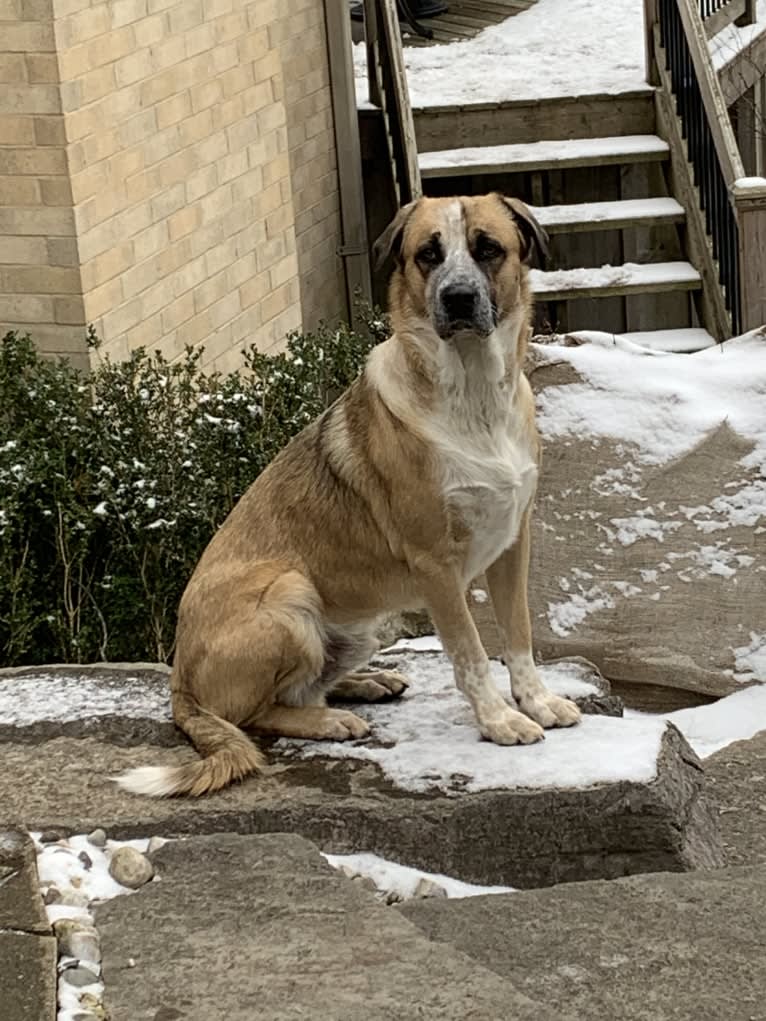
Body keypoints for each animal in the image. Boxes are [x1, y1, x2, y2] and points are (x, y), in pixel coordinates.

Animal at [115, 191, 580, 796]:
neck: (474, 397)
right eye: (428, 254)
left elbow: (519, 638)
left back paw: (366, 683)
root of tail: (180, 687)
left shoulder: (512, 544)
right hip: (289, 594)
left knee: (306, 684)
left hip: (360, 627)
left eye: (488, 249)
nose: (457, 299)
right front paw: (499, 721)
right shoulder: (435, 566)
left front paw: (537, 702)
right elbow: (472, 655)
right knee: (255, 713)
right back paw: (331, 720)